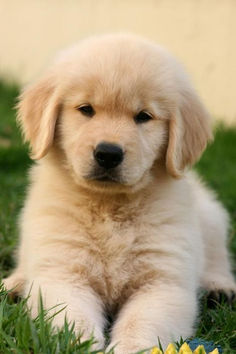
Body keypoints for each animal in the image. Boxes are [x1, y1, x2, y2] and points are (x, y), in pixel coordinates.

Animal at [3, 34, 236, 352]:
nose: (108, 154)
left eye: (144, 116)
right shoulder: (63, 273)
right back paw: (14, 283)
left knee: (218, 257)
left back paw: (219, 287)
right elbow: (72, 320)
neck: (109, 206)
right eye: (86, 109)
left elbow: (141, 323)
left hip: (210, 217)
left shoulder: (163, 283)